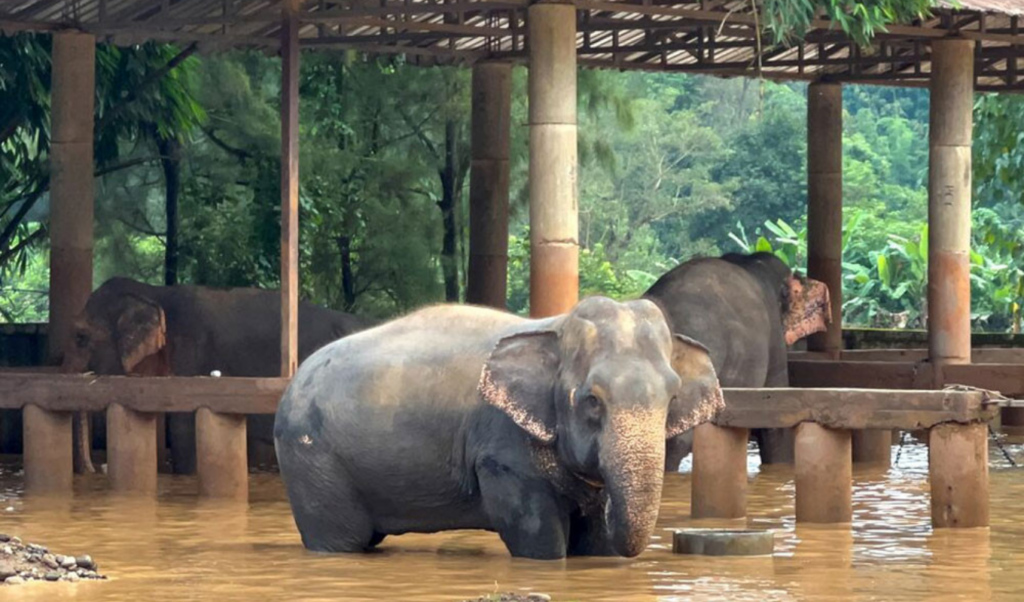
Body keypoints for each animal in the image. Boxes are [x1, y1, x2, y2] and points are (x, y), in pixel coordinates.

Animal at [274, 296, 724, 560]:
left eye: (672, 397)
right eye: (592, 400)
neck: (556, 326)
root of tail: (291, 383)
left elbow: (594, 541)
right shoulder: (501, 447)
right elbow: (537, 535)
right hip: (312, 459)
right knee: (341, 540)